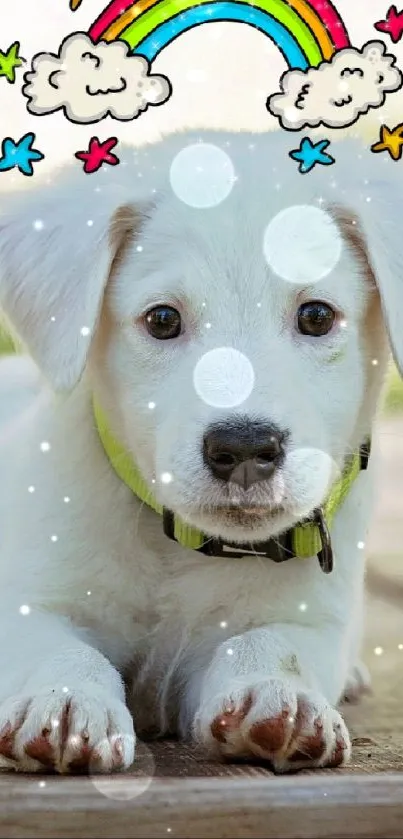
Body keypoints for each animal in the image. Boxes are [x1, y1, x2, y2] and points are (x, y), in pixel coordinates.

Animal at [0, 128, 400, 776]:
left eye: (316, 315)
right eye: (163, 319)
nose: (244, 446)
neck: (179, 548)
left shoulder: (310, 620)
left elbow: (273, 643)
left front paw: (278, 692)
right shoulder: (28, 599)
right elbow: (56, 648)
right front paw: (63, 700)